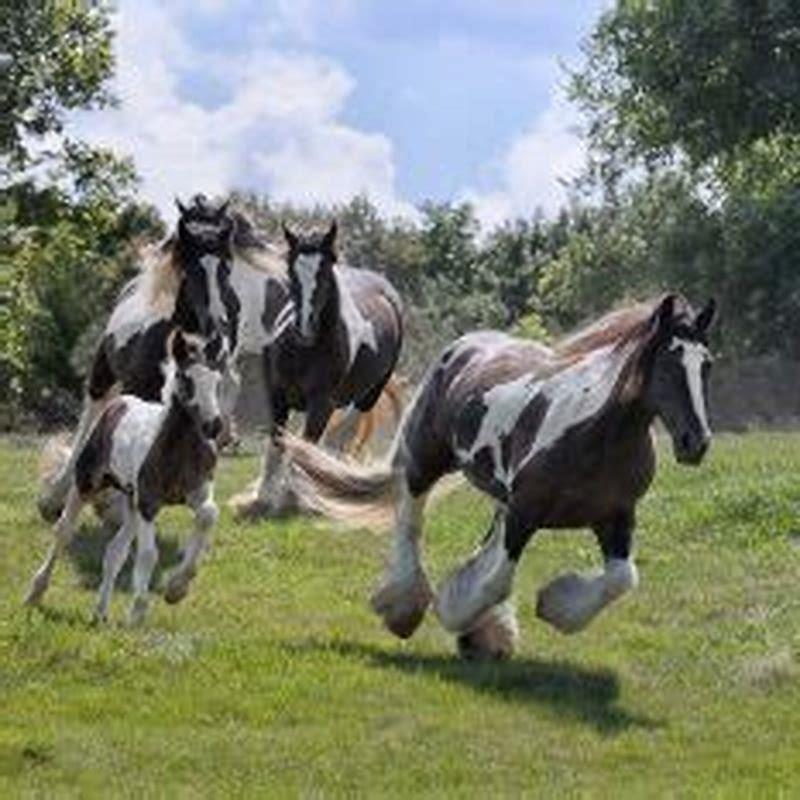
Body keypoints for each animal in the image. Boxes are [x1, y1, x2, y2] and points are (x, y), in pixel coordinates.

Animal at [25, 325, 229, 624]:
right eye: (185, 378)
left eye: (217, 380)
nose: (213, 426)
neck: (176, 449)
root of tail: (119, 402)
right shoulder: (148, 502)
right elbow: (148, 554)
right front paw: (138, 611)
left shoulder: (196, 492)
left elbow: (208, 514)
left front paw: (176, 588)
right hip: (88, 483)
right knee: (63, 531)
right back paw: (35, 593)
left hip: (131, 502)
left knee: (114, 551)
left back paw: (100, 612)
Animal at [37, 195, 284, 522]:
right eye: (189, 264)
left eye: (227, 265)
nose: (216, 326)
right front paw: (114, 507)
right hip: (103, 373)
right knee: (90, 417)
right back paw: (57, 496)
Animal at [229, 220, 404, 518]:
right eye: (291, 269)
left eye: (325, 269)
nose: (304, 328)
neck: (304, 351)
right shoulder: (277, 395)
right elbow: (277, 441)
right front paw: (262, 498)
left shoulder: (321, 404)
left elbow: (306, 447)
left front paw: (292, 497)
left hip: (368, 396)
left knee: (341, 438)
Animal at [280, 294, 717, 660]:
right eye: (669, 362)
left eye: (707, 364)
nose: (696, 442)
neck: (597, 434)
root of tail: (465, 346)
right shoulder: (525, 510)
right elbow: (497, 579)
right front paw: (455, 611)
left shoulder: (616, 516)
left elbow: (623, 578)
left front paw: (553, 608)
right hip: (426, 458)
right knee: (410, 516)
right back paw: (403, 608)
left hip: (499, 495)